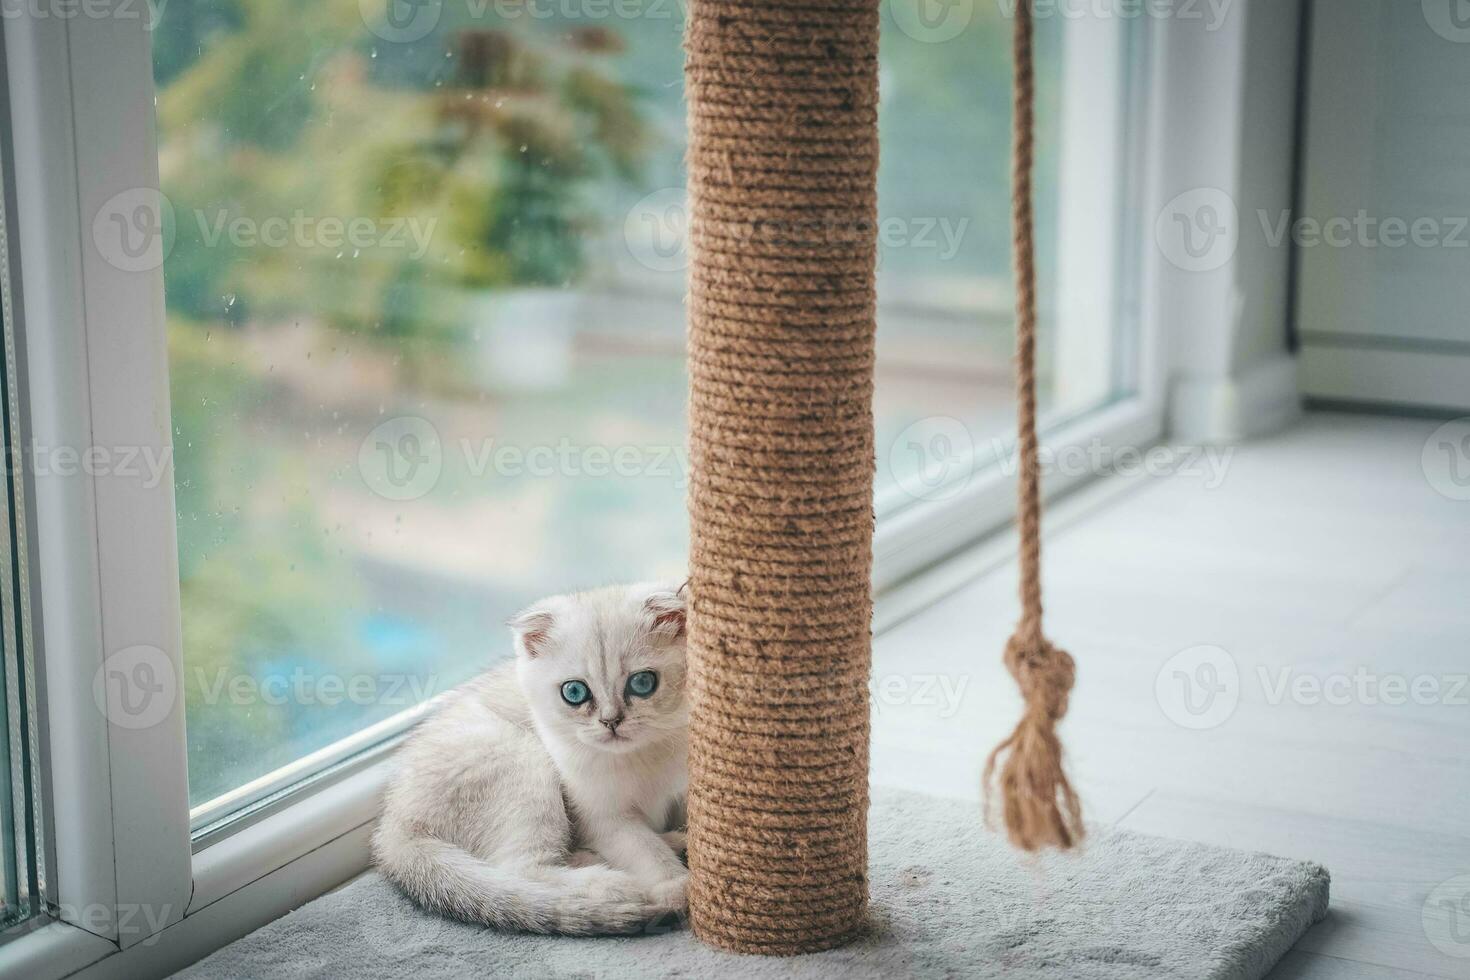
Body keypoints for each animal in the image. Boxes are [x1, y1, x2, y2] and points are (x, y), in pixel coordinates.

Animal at [367, 581, 687, 934]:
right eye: (574, 692)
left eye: (643, 683)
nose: (611, 721)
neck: (641, 756)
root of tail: (394, 824)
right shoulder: (602, 817)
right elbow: (643, 847)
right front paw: (678, 886)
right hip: (522, 759)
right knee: (519, 869)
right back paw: (609, 883)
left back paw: (669, 842)